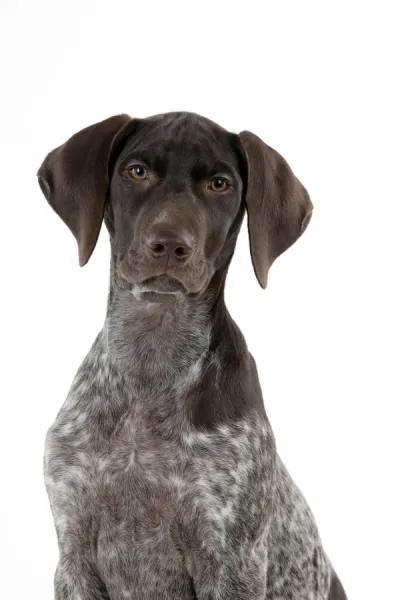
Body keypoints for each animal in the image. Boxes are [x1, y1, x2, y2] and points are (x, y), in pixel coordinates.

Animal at [37, 112, 346, 600]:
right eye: (136, 171)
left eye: (220, 184)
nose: (169, 244)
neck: (151, 365)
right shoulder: (74, 557)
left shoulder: (230, 562)